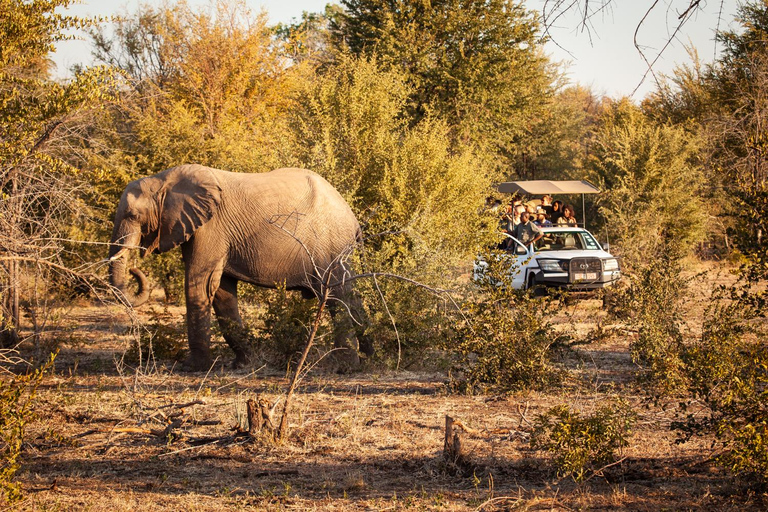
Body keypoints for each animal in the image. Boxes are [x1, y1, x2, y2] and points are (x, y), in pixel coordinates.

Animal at [109, 164, 370, 368]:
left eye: (133, 215)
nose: (134, 269)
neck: (164, 179)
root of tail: (352, 218)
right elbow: (222, 293)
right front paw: (243, 364)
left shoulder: (211, 227)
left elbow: (199, 284)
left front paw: (192, 367)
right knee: (351, 296)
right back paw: (369, 356)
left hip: (332, 244)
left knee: (336, 296)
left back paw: (344, 366)